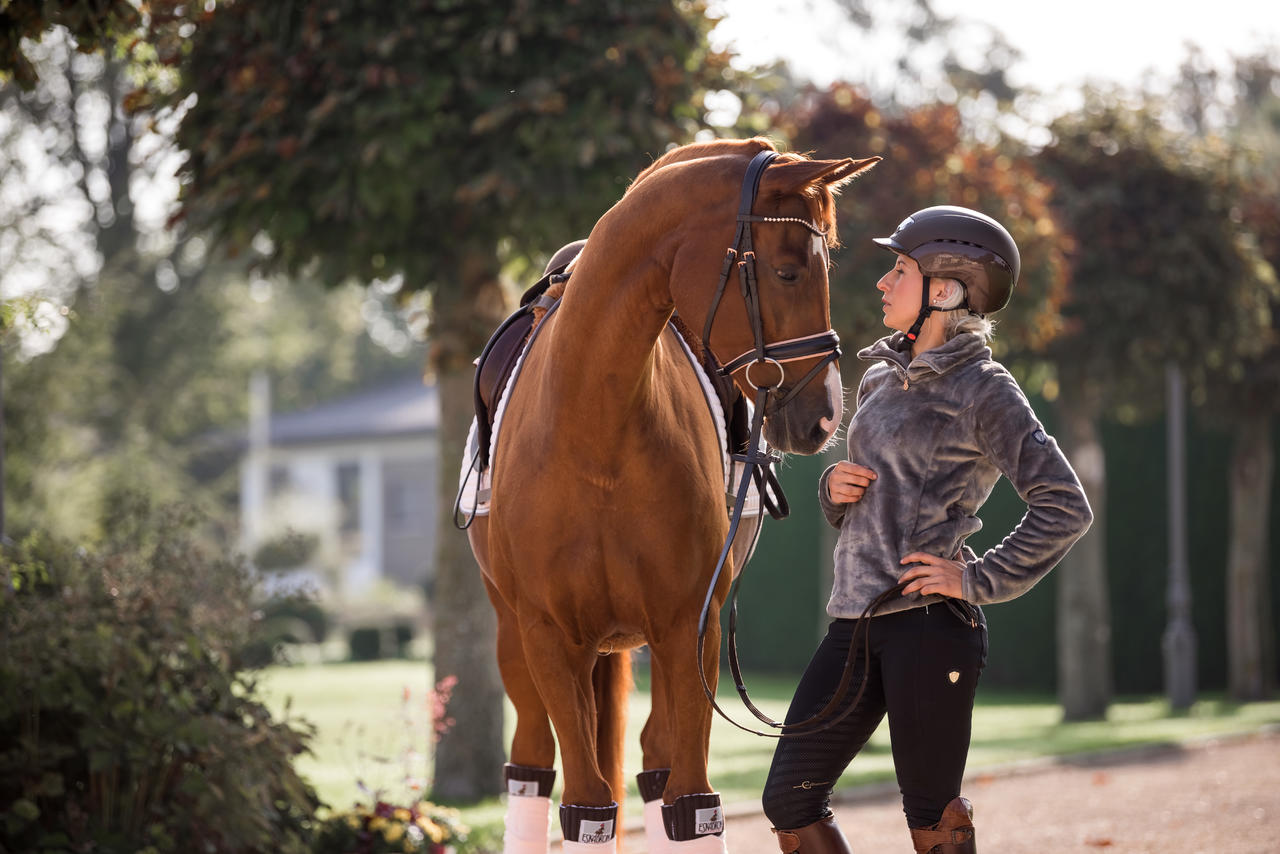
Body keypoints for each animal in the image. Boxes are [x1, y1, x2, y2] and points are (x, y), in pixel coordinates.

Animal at [471, 136, 880, 850]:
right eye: (789, 272)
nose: (825, 414)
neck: (594, 427)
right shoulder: (550, 639)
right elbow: (587, 808)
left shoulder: (690, 627)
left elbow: (691, 803)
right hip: (515, 641)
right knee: (532, 769)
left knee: (656, 764)